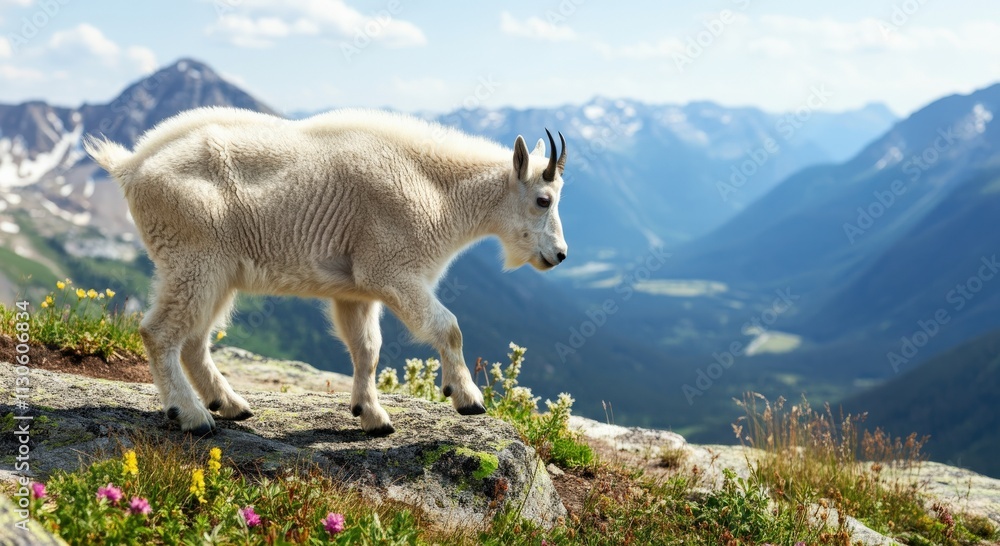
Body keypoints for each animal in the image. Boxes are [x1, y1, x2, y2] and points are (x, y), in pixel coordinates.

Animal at [84, 107, 568, 436]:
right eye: (543, 199)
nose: (560, 255)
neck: (438, 192)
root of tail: (131, 167)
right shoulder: (392, 272)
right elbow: (448, 327)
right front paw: (467, 398)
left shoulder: (355, 291)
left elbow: (367, 350)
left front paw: (372, 417)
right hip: (193, 259)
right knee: (159, 332)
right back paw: (192, 415)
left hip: (215, 272)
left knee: (194, 340)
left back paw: (232, 404)